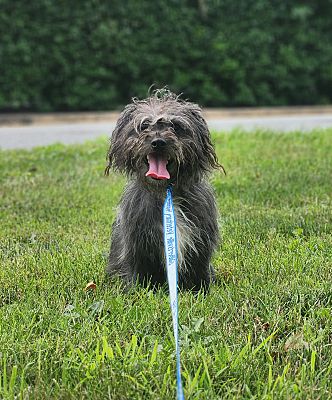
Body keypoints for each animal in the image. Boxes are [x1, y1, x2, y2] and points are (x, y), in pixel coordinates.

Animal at [105, 90, 222, 290]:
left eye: (176, 126)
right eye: (144, 126)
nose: (158, 142)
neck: (167, 192)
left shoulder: (200, 244)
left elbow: (199, 273)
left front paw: (203, 291)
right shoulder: (138, 246)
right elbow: (139, 275)